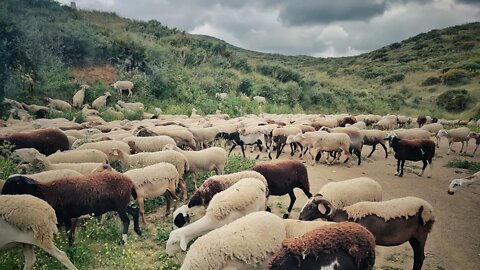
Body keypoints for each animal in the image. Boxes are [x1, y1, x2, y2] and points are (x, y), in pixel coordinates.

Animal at [1, 172, 144, 246]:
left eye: (15, 183)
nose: (2, 195)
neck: (44, 192)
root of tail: (130, 182)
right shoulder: (64, 217)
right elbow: (66, 232)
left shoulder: (66, 216)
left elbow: (69, 232)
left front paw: (71, 247)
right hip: (121, 204)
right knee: (135, 212)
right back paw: (139, 231)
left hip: (120, 205)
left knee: (126, 220)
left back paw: (123, 240)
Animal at [300, 195, 436, 270]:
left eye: (310, 207)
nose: (300, 217)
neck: (345, 216)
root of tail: (430, 210)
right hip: (413, 238)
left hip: (421, 236)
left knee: (420, 258)